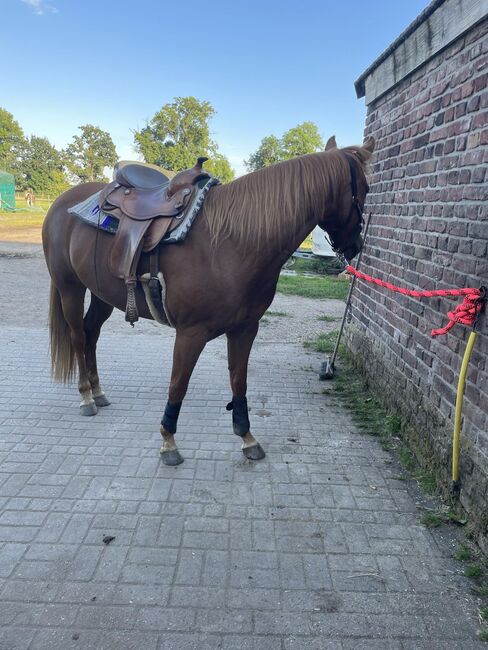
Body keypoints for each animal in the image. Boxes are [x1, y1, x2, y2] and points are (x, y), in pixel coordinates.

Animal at [43, 137, 374, 464]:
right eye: (366, 188)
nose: (356, 245)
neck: (231, 243)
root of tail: (63, 201)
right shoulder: (191, 333)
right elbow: (178, 384)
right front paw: (169, 441)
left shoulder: (245, 328)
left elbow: (238, 381)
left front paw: (247, 437)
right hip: (70, 288)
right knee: (77, 336)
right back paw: (86, 396)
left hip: (102, 294)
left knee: (91, 334)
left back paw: (98, 392)